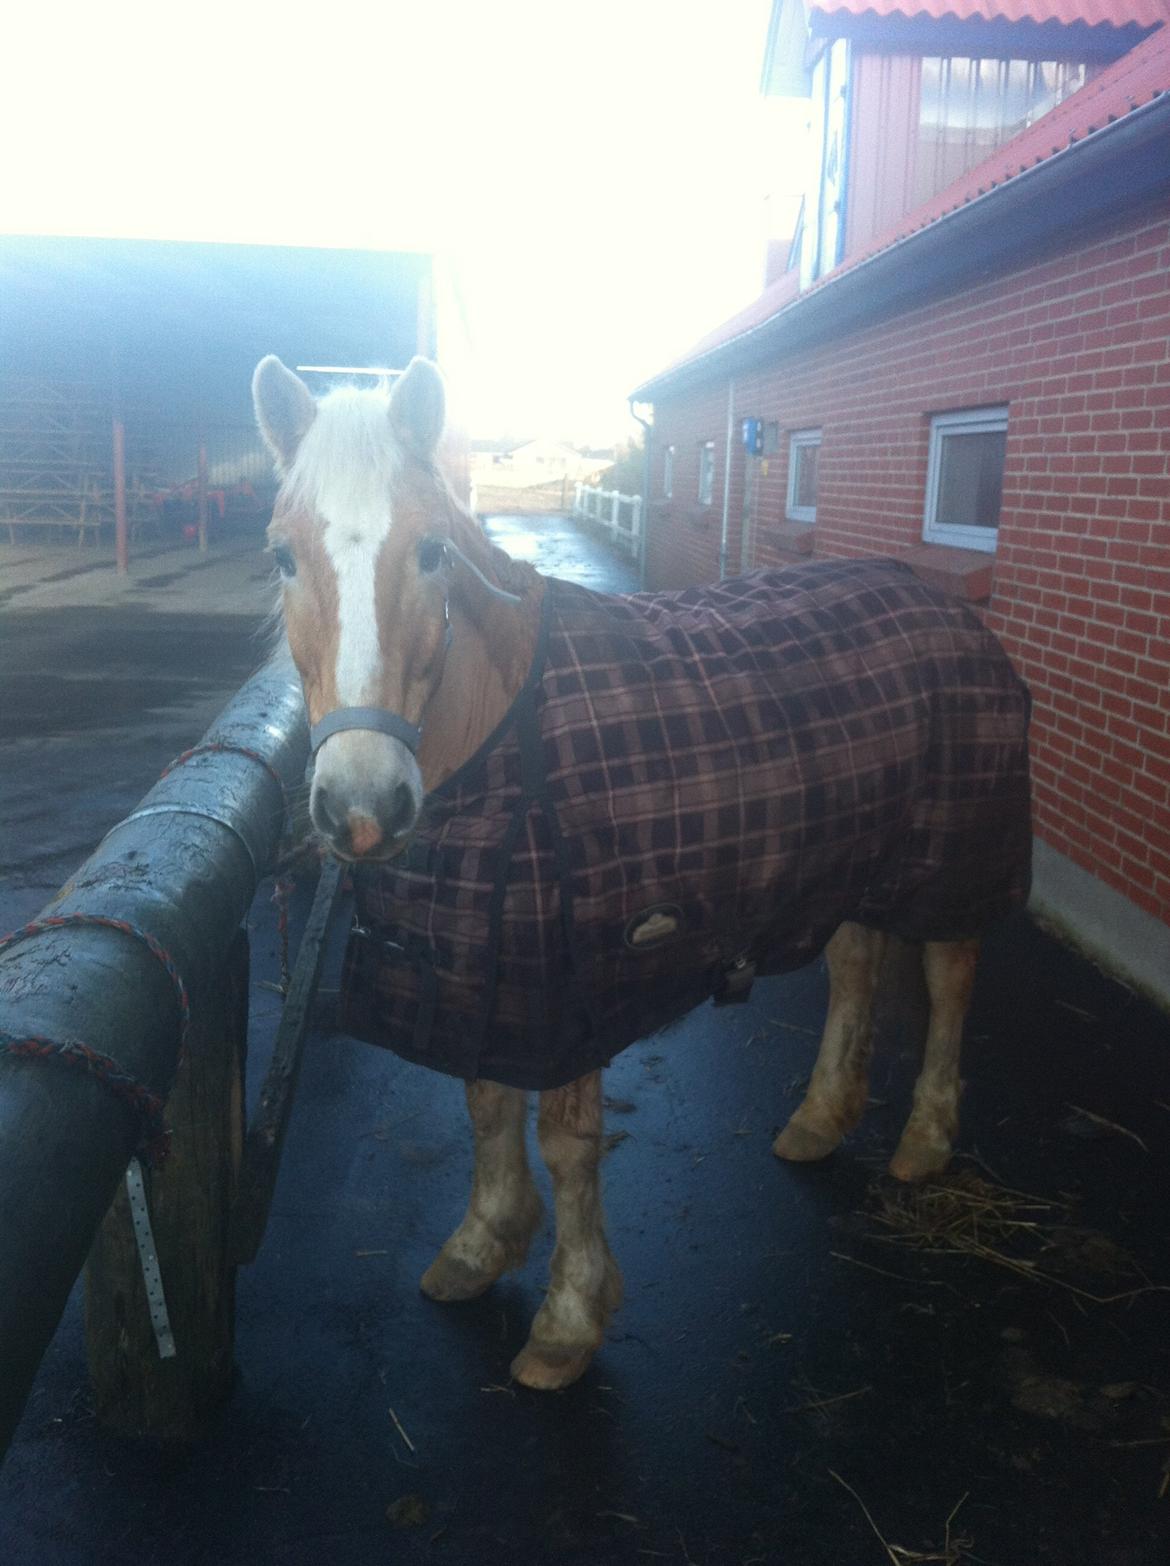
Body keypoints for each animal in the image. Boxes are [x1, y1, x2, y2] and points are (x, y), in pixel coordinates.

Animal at [252, 358, 1027, 1396]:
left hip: (953, 860)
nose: (362, 804)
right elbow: (484, 1101)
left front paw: (568, 1321)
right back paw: (820, 1120)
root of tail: (946, 606)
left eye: (431, 553)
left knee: (950, 978)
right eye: (283, 557)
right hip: (856, 864)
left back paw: (923, 1143)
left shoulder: (568, 980)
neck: (507, 733)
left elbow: (566, 1143)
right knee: (859, 970)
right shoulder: (486, 970)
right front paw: (481, 1245)